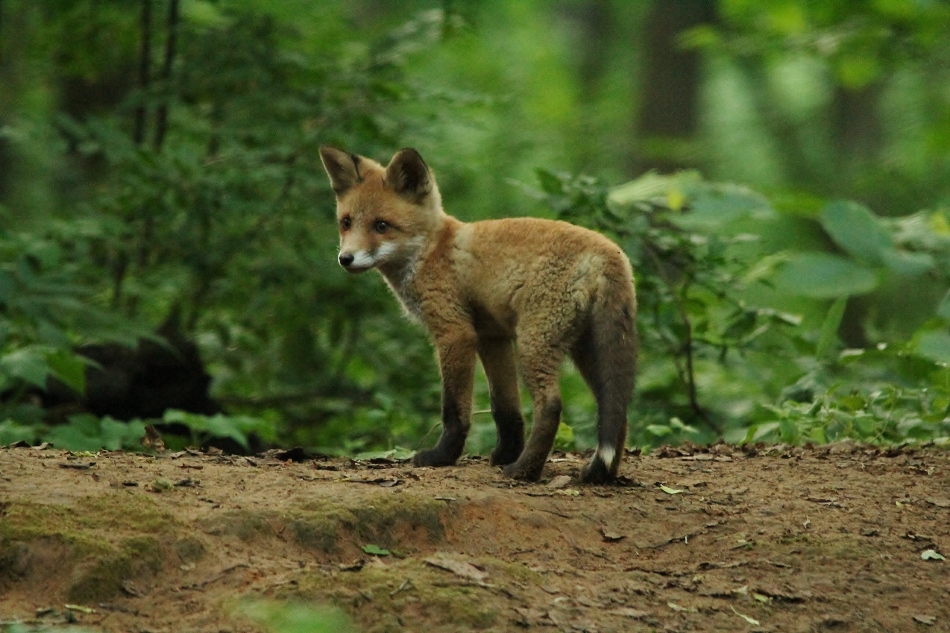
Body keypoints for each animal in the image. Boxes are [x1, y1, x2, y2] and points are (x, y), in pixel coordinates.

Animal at [320, 146, 640, 482]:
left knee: (552, 406)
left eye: (381, 226)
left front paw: (442, 456)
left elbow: (454, 409)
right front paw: (505, 452)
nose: (346, 258)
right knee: (616, 409)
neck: (430, 251)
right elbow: (505, 407)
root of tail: (609, 251)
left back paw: (524, 470)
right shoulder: (492, 337)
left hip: (535, 343)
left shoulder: (455, 332)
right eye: (346, 222)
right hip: (587, 351)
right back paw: (598, 473)